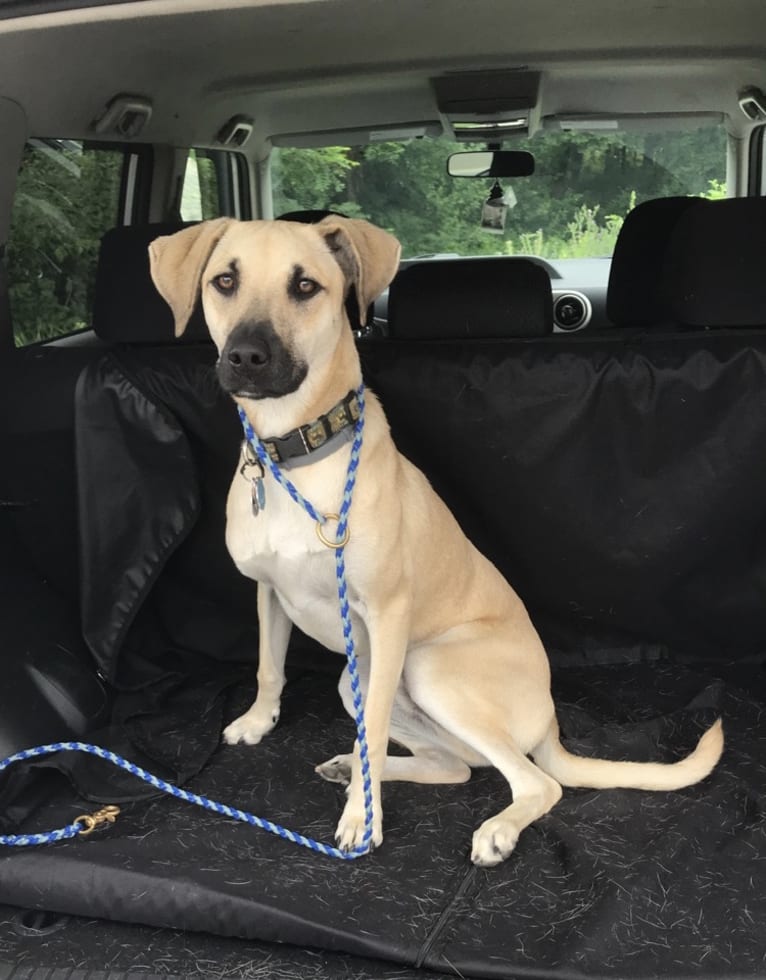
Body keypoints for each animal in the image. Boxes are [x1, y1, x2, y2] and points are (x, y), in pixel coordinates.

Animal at [150, 216, 728, 864]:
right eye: (224, 281)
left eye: (305, 287)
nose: (246, 356)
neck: (293, 454)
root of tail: (552, 722)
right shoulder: (271, 592)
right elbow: (269, 667)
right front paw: (258, 721)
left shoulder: (385, 615)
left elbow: (374, 727)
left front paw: (363, 819)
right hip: (361, 681)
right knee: (455, 766)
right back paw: (352, 767)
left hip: (427, 669)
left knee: (533, 781)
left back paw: (493, 827)